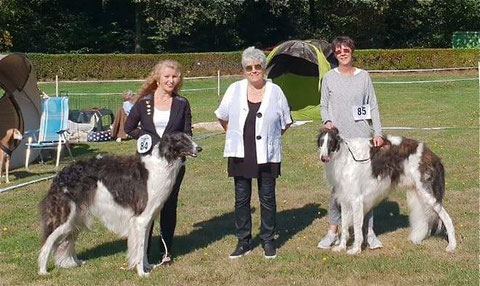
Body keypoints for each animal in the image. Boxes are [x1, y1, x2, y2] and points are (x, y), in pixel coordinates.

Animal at [38, 132, 201, 278]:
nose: (199, 148)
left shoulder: (147, 220)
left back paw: (74, 262)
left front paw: (147, 266)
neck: (161, 164)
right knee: (46, 244)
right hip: (64, 218)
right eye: (181, 139)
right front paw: (142, 273)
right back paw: (43, 271)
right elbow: (140, 248)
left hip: (76, 218)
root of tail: (60, 175)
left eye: (190, 137)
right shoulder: (141, 219)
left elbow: (143, 248)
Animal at [316, 127, 456, 255]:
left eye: (331, 142)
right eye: (321, 142)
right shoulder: (345, 199)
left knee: (447, 218)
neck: (345, 157)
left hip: (427, 193)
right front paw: (341, 247)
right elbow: (344, 225)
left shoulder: (356, 200)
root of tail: (434, 156)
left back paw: (452, 245)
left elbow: (356, 226)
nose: (323, 158)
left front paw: (355, 249)